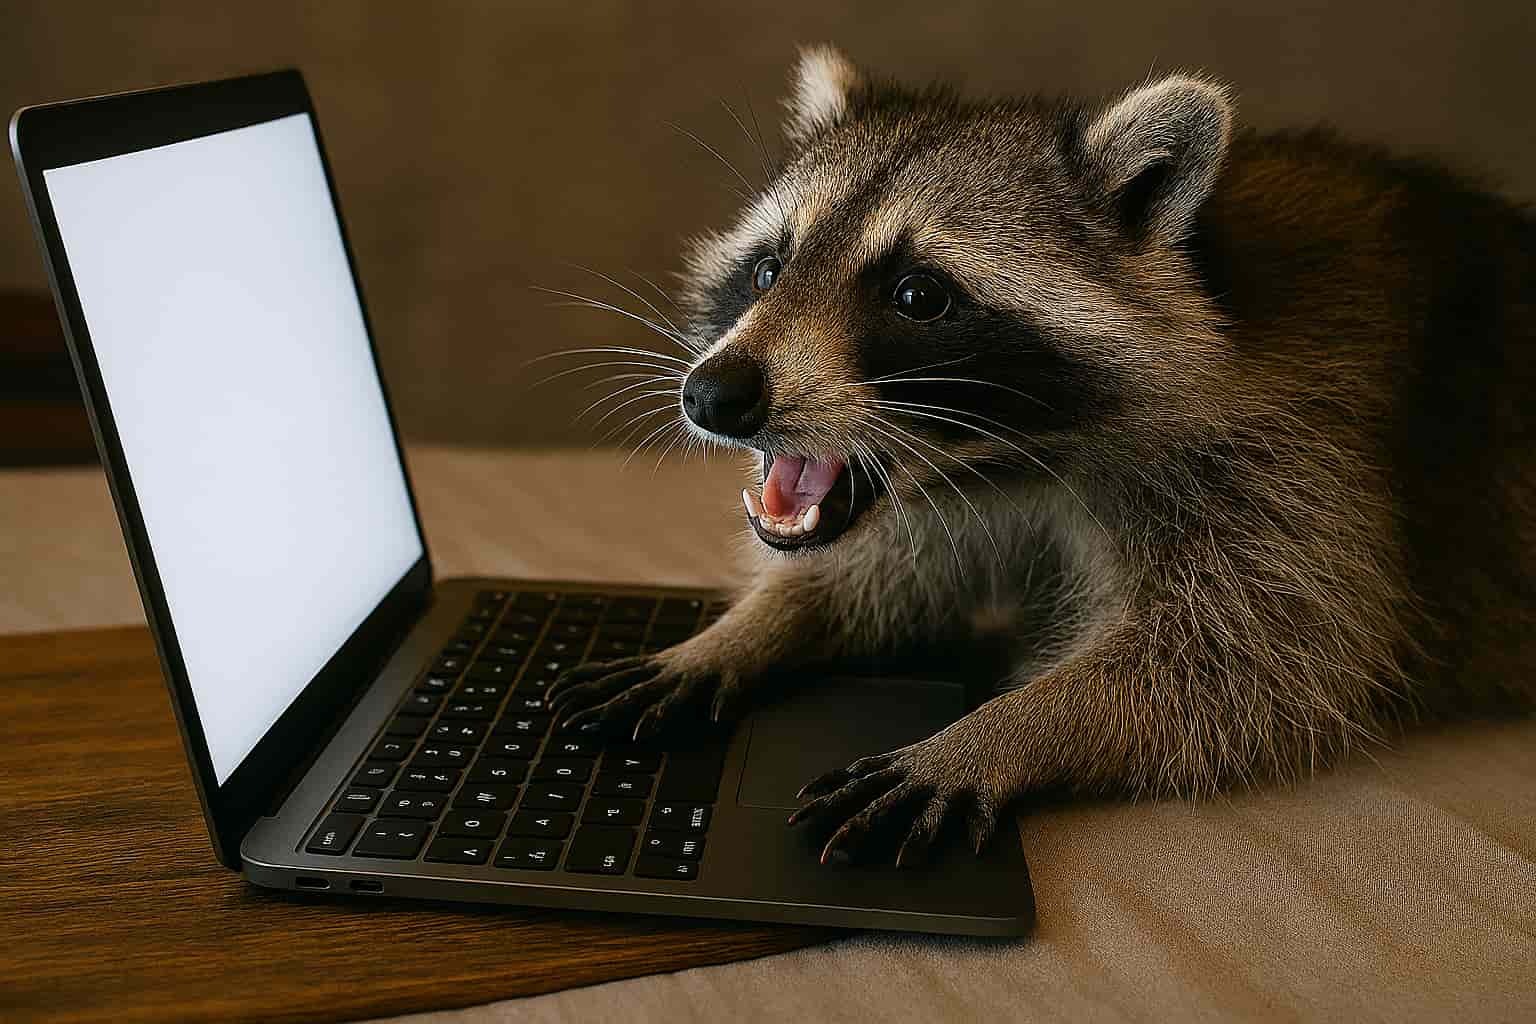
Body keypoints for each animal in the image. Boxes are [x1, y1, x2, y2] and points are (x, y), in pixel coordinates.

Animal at [548, 45, 1536, 865]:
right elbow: (886, 577)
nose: (713, 397)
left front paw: (1009, 729)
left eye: (917, 294)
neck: (1019, 451)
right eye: (766, 271)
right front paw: (743, 631)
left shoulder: (1299, 452)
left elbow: (1253, 664)